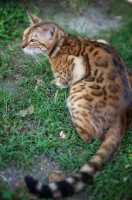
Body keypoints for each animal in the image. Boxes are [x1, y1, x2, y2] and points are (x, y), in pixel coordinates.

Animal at [21, 12, 131, 198]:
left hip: (77, 92)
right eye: (24, 35)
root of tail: (123, 118)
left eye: (33, 40)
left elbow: (59, 81)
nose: (21, 47)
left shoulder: (75, 63)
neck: (62, 43)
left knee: (89, 137)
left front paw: (48, 82)